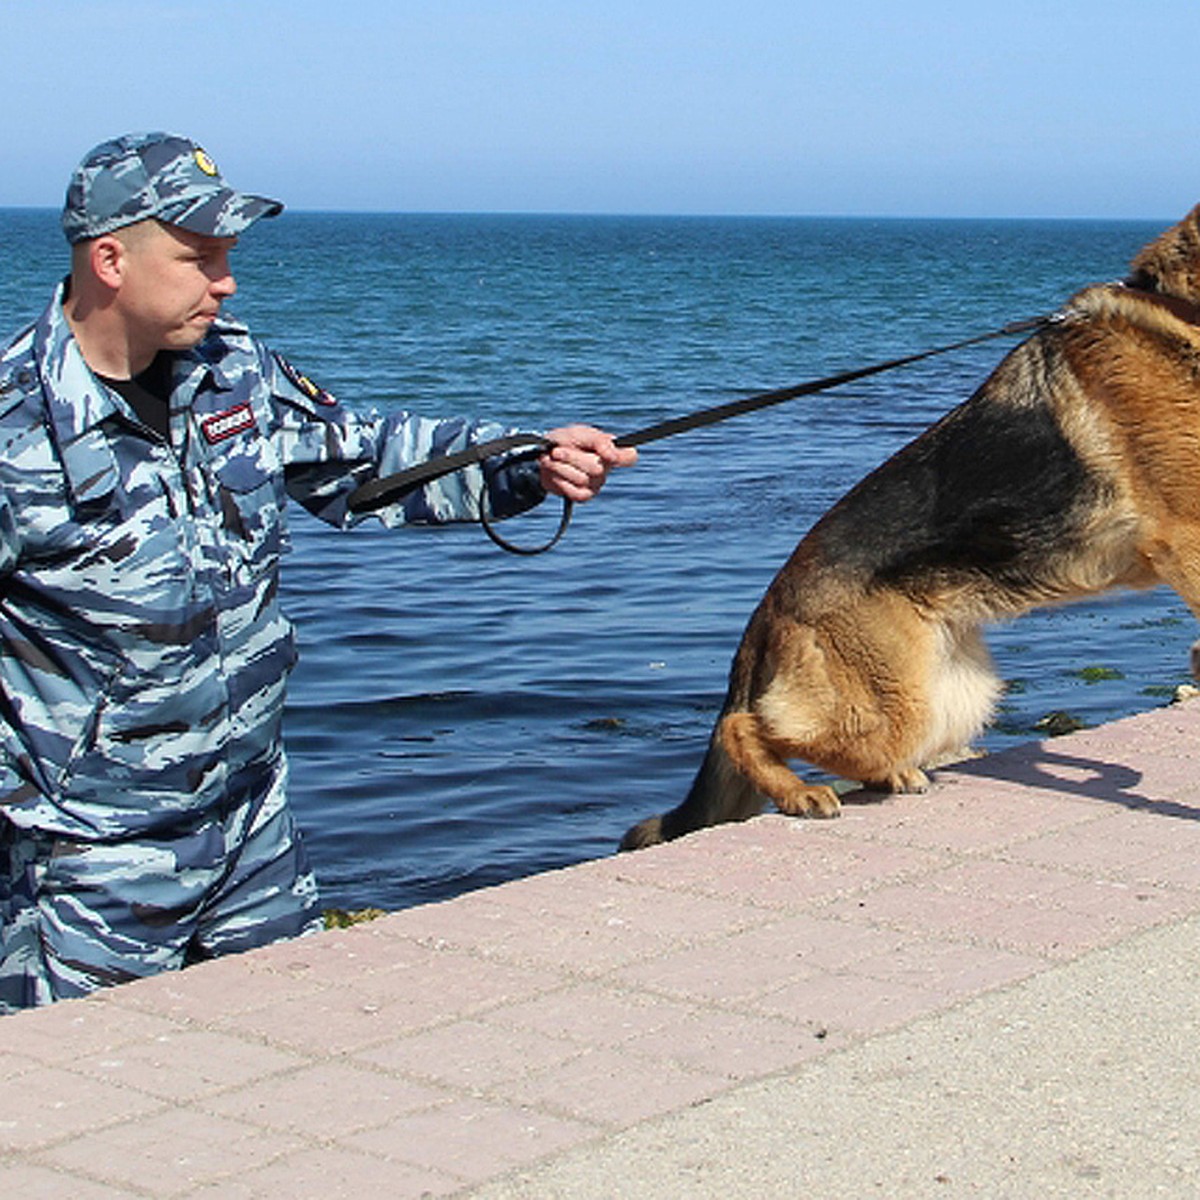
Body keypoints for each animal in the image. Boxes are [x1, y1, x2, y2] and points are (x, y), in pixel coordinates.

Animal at [624, 201, 1200, 849]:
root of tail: (769, 610)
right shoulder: (1185, 540)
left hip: (954, 699)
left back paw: (888, 777)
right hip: (897, 712)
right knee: (743, 727)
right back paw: (800, 793)